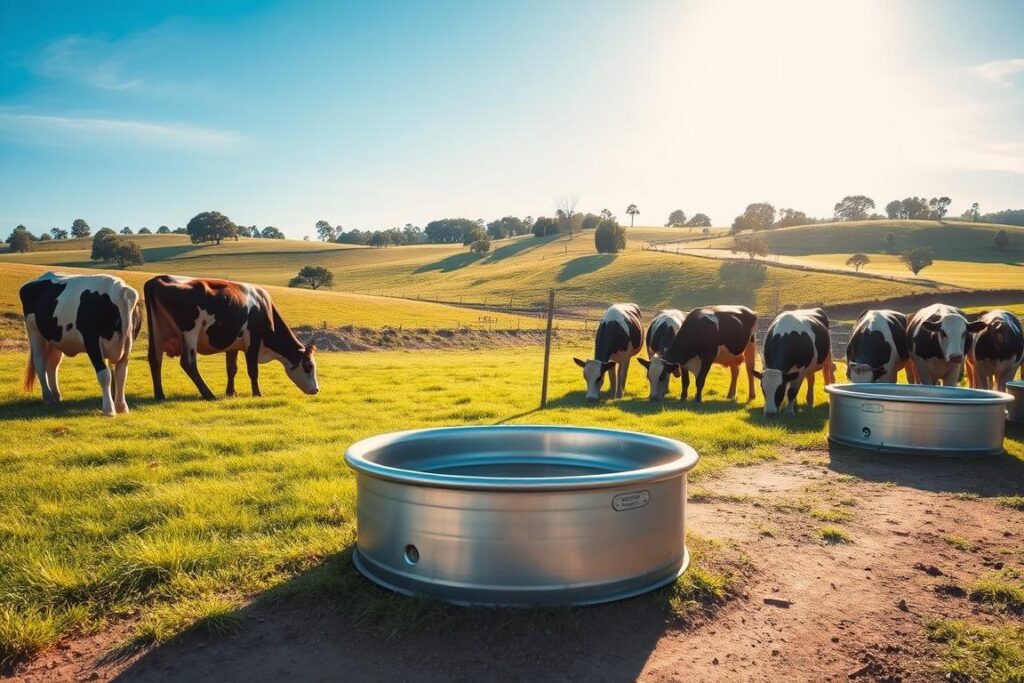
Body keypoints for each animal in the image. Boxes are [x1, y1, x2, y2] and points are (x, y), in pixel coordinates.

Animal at [20, 272, 141, 416]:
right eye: (118, 316)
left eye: (134, 317)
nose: (126, 333)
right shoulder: (92, 342)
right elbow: (105, 375)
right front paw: (109, 410)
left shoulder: (126, 349)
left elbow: (121, 375)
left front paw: (122, 407)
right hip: (35, 332)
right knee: (40, 363)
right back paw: (48, 397)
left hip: (56, 338)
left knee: (53, 365)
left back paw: (56, 395)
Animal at [143, 275, 319, 400]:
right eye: (308, 366)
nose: (316, 390)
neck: (263, 308)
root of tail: (157, 280)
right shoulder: (253, 342)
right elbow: (253, 370)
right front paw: (257, 393)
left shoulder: (233, 345)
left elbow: (231, 368)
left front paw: (230, 392)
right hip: (190, 332)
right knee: (188, 362)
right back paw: (209, 394)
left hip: (158, 332)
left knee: (155, 359)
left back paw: (160, 394)